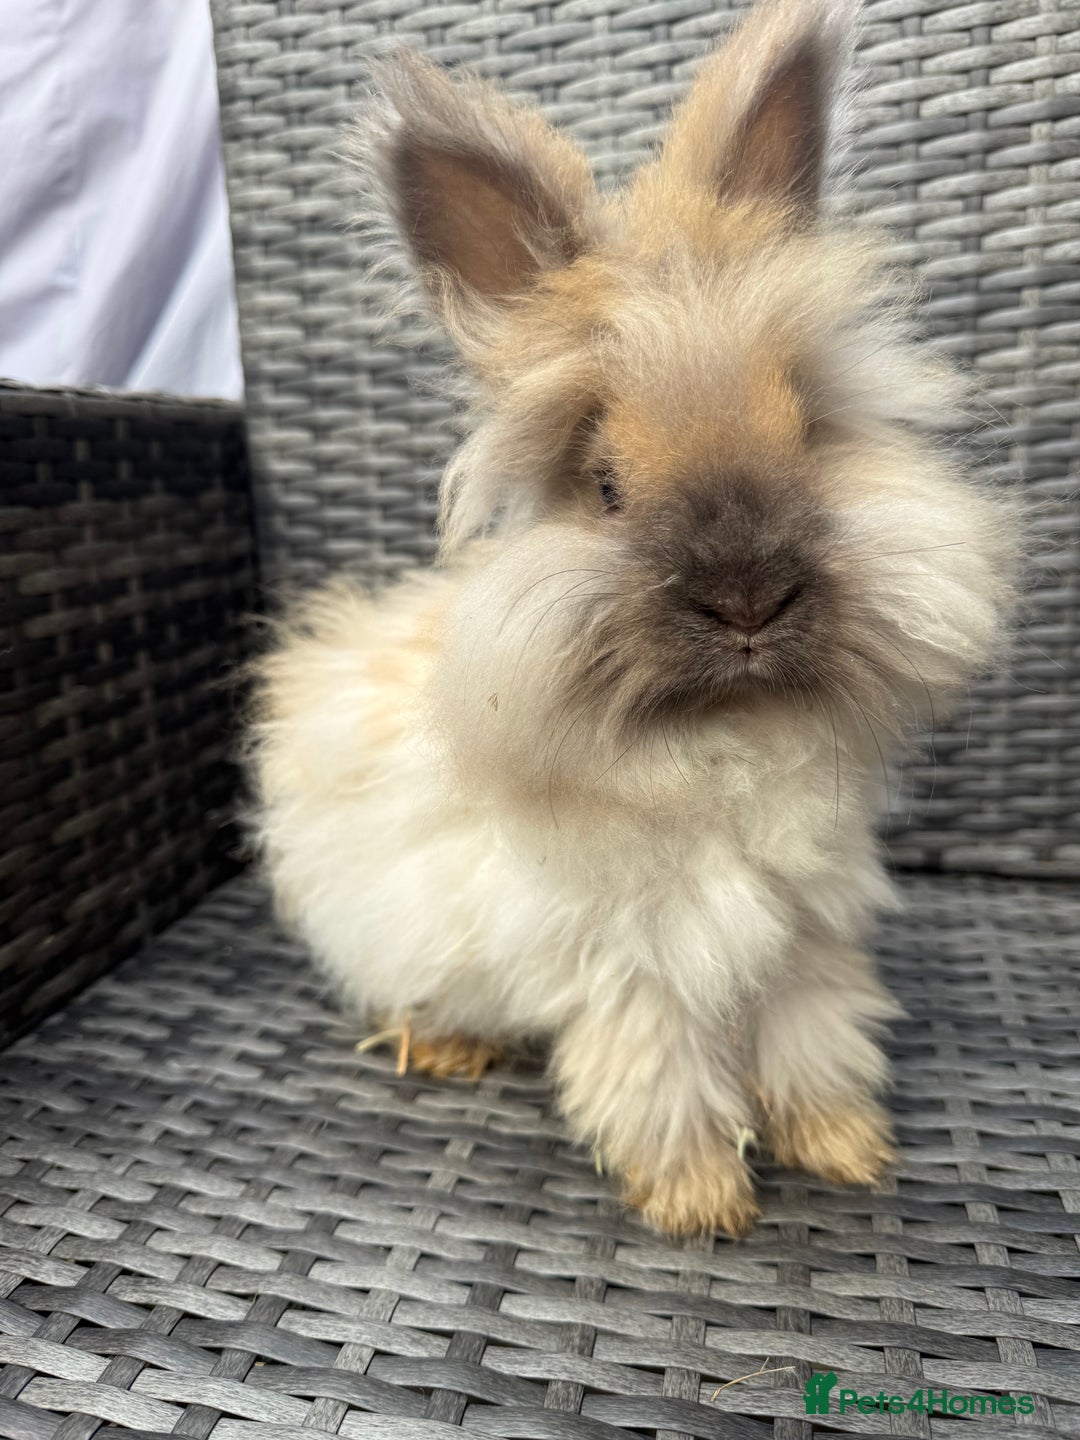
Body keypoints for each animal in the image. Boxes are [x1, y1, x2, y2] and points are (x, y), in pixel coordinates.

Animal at [250, 0, 1018, 1238]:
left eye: (807, 432)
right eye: (605, 485)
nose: (749, 596)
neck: (728, 732)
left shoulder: (805, 938)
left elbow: (815, 1042)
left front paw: (845, 1150)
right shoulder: (636, 964)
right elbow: (659, 1078)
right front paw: (702, 1204)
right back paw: (446, 1047)